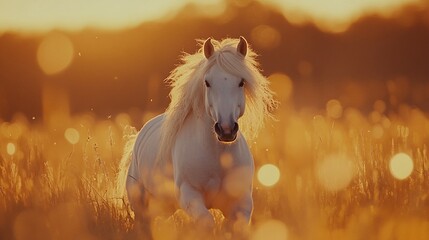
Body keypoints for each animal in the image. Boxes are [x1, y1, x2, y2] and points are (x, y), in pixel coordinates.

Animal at [116, 36, 274, 230]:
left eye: (241, 82)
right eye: (207, 82)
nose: (226, 129)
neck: (218, 158)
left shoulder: (241, 203)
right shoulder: (190, 195)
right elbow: (207, 223)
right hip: (142, 207)